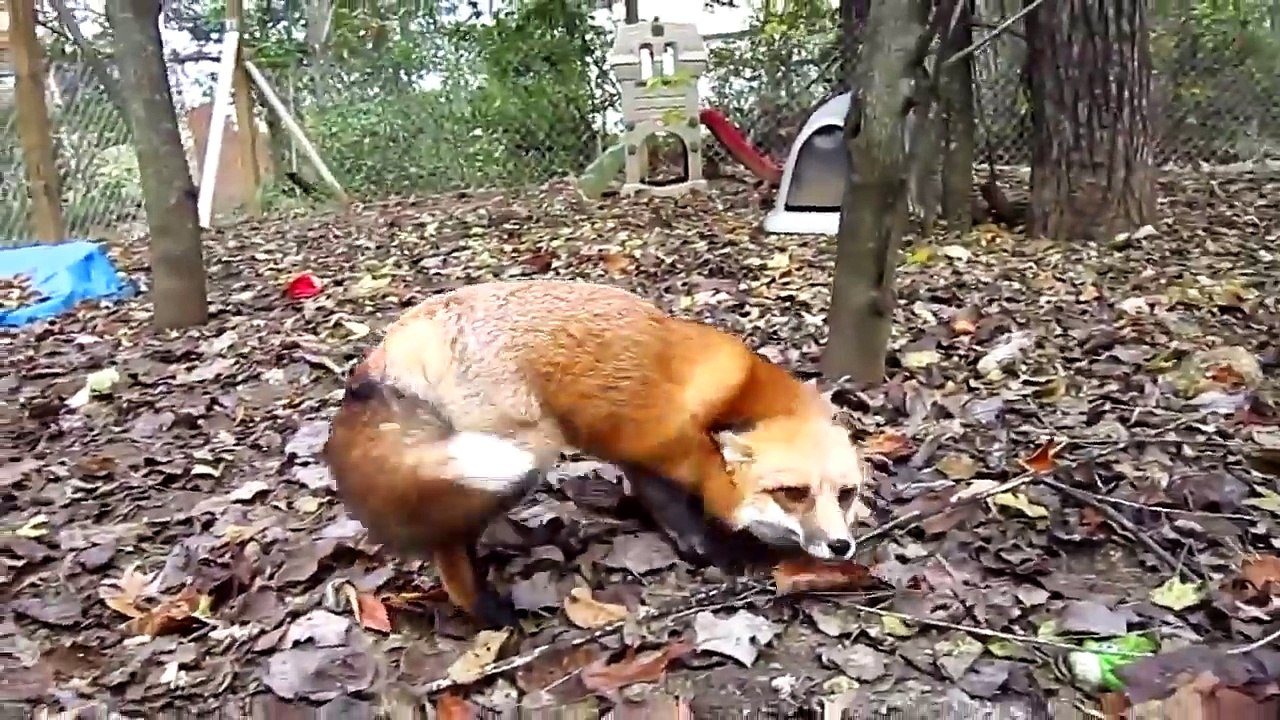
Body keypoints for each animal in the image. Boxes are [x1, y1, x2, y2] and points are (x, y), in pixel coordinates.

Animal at [321, 279, 869, 629]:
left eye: (846, 494)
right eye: (792, 493)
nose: (841, 547)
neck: (740, 397)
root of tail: (394, 343)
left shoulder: (637, 452)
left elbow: (665, 509)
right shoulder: (662, 448)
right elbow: (687, 515)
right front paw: (720, 553)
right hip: (521, 452)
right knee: (449, 538)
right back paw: (483, 605)